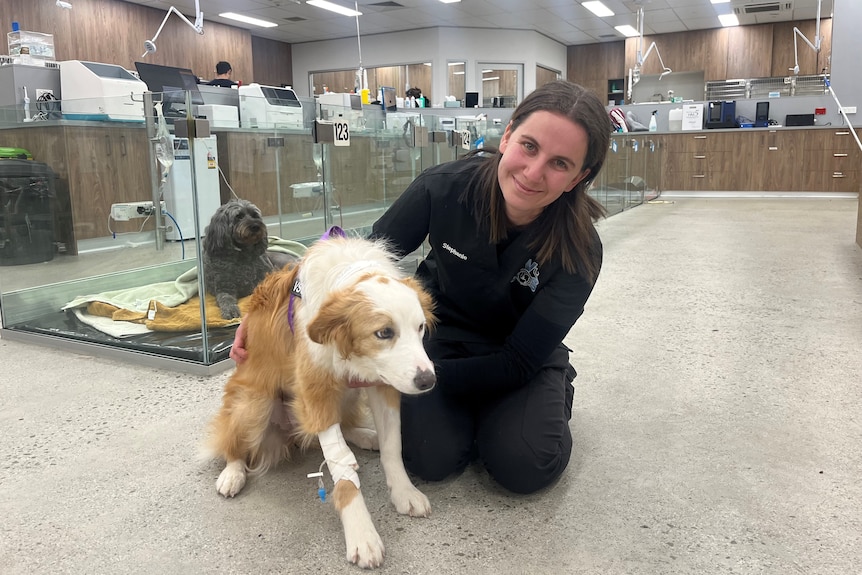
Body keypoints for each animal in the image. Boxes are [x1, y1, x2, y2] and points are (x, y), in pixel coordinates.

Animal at [204, 234, 438, 568]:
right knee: (233, 443)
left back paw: (365, 436)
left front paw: (404, 492)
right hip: (254, 402)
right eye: (384, 333)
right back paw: (232, 473)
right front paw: (362, 534)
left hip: (347, 393)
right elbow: (342, 469)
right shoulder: (315, 389)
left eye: (419, 328)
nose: (428, 381)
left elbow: (393, 447)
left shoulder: (382, 383)